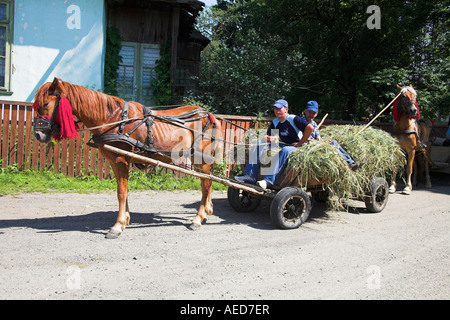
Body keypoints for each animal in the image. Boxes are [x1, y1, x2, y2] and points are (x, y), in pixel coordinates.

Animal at [32, 77, 222, 238]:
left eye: (46, 103)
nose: (38, 134)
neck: (114, 119)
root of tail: (210, 115)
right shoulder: (116, 162)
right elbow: (123, 190)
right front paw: (126, 219)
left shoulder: (120, 160)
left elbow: (121, 192)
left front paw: (117, 226)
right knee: (207, 183)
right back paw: (207, 211)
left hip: (202, 159)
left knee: (206, 185)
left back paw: (198, 218)